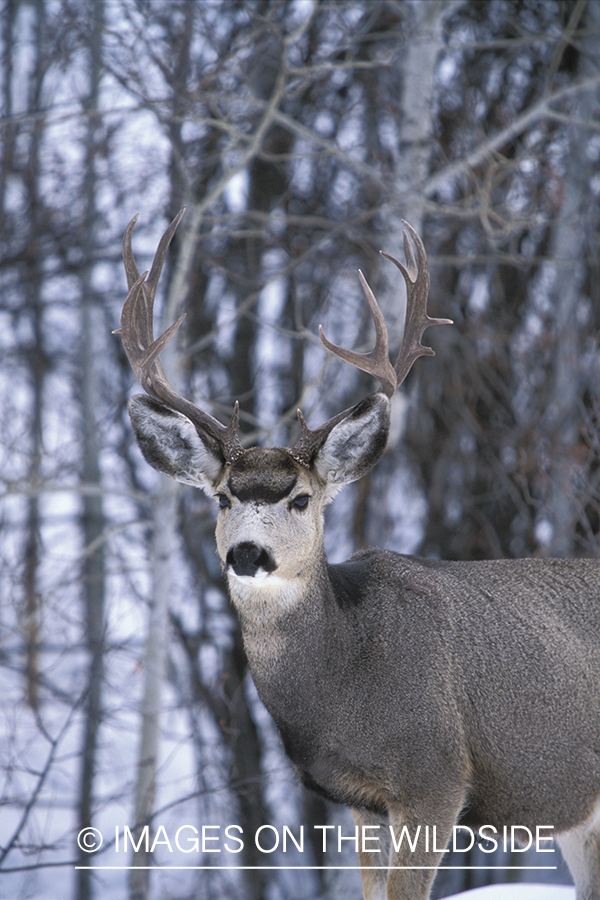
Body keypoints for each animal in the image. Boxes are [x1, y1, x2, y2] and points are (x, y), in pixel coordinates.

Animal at [117, 207, 600, 896]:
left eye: (301, 498)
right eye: (222, 498)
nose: (246, 554)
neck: (344, 684)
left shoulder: (436, 777)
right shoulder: (360, 800)